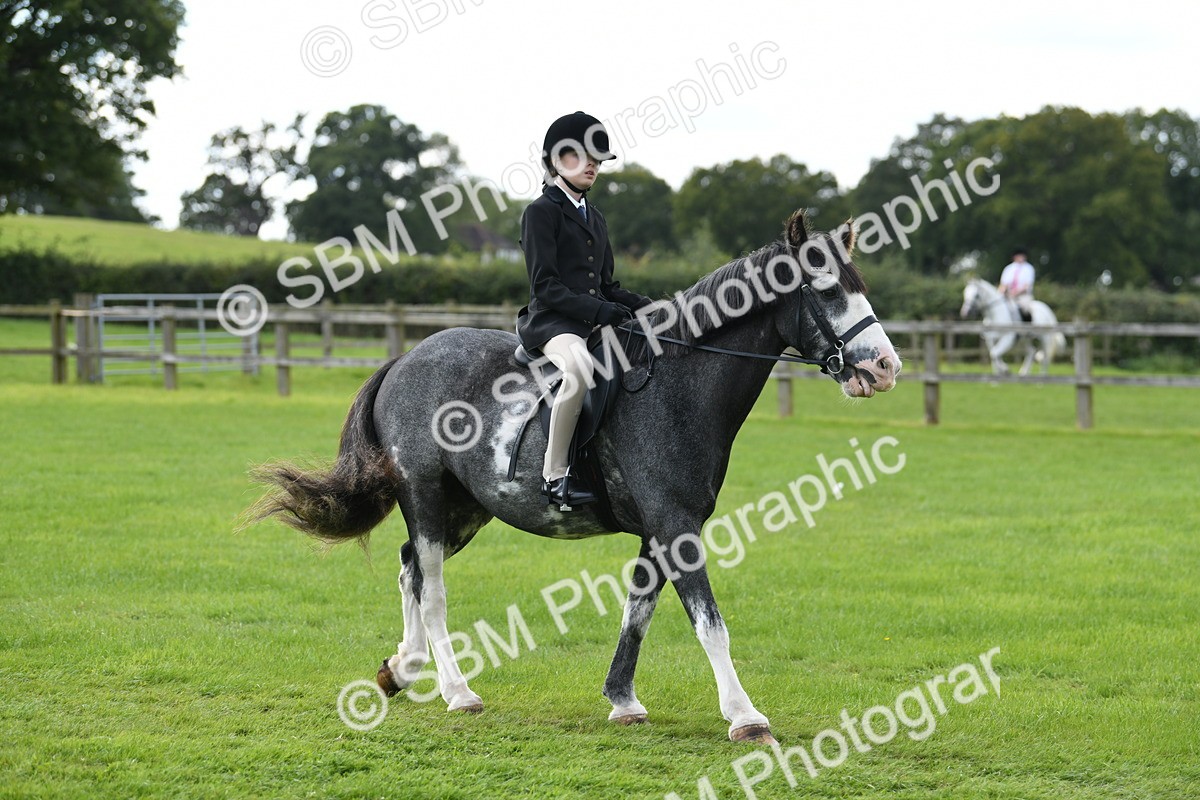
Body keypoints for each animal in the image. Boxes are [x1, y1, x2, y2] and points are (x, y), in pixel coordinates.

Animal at [248, 210, 901, 744]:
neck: (679, 385)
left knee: (410, 568)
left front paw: (623, 701)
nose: (885, 368)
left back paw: (400, 670)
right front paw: (745, 717)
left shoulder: (659, 529)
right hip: (426, 496)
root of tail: (405, 359)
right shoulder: (677, 525)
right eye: (825, 289)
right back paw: (458, 692)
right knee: (430, 588)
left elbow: (637, 614)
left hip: (466, 509)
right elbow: (710, 623)